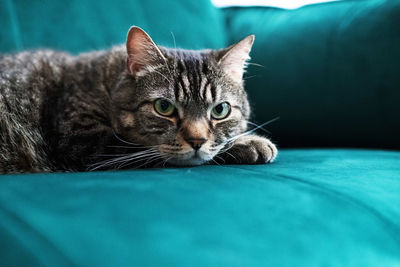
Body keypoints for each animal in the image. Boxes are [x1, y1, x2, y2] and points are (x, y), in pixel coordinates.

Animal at [0, 26, 276, 174]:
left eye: (220, 110)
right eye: (164, 107)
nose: (197, 141)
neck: (105, 84)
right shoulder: (85, 139)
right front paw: (249, 143)